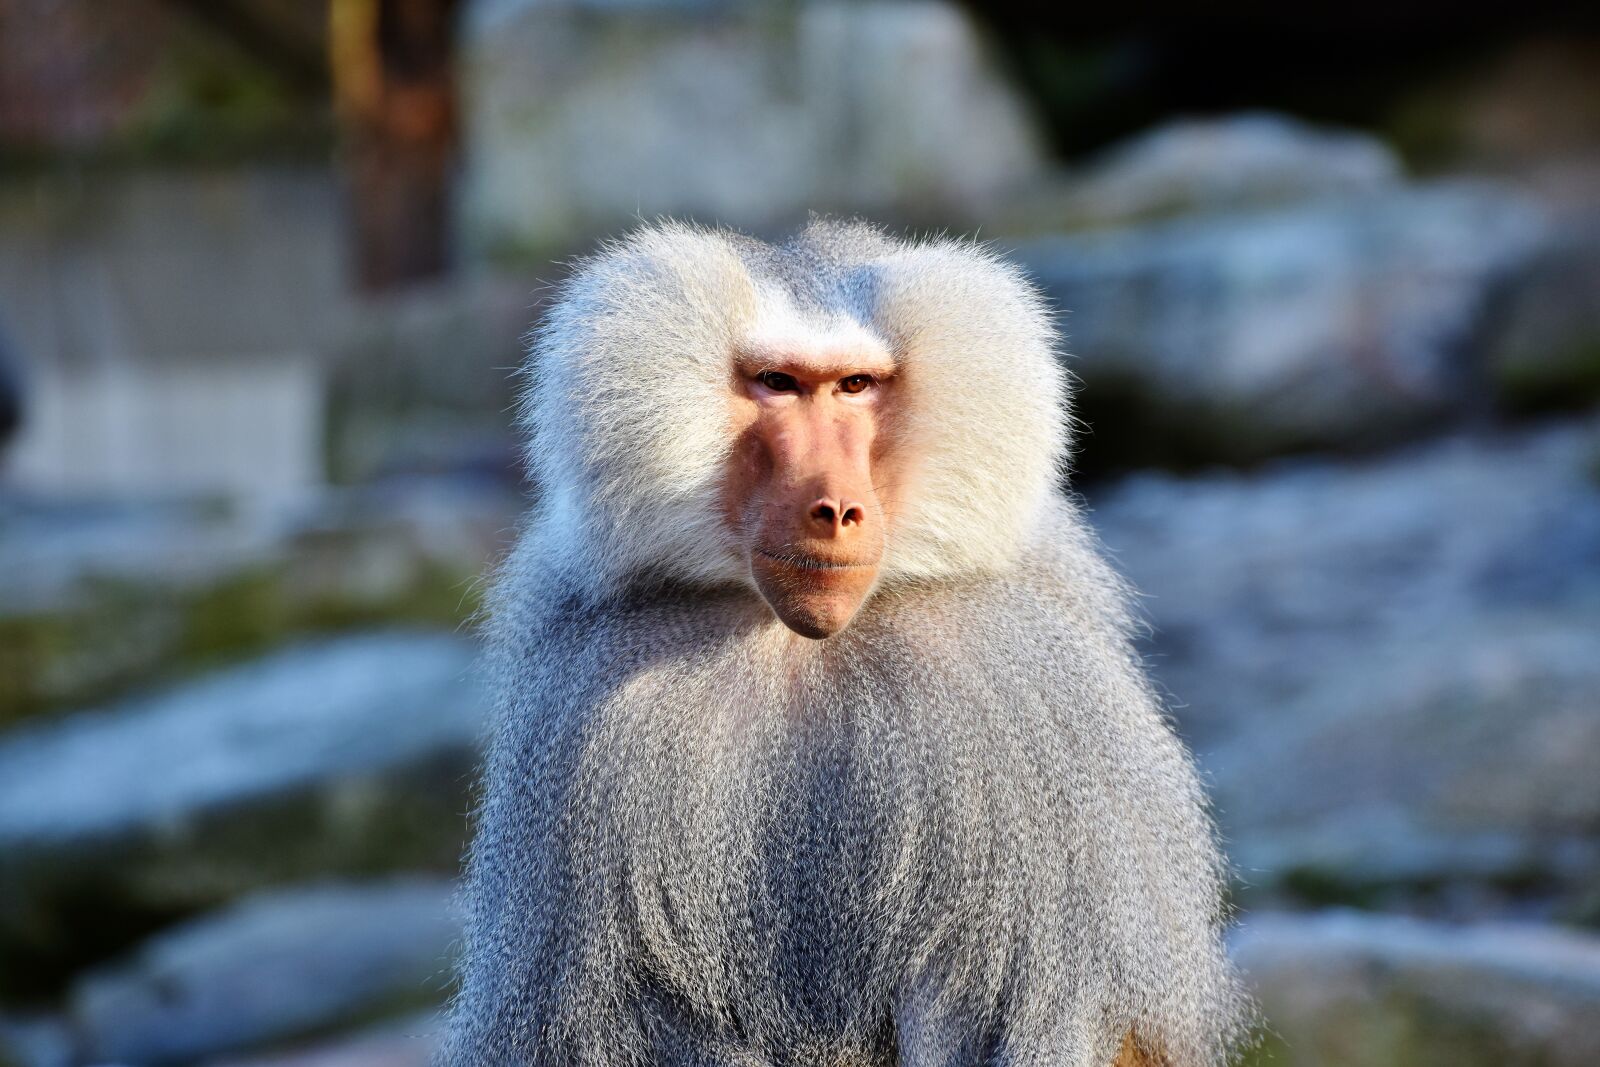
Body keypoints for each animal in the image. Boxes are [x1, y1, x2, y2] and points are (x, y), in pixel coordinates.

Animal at [438, 218, 1249, 1067]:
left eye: (855, 385)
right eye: (778, 382)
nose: (834, 510)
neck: (805, 648)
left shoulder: (1027, 706)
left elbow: (1084, 1019)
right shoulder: (588, 716)